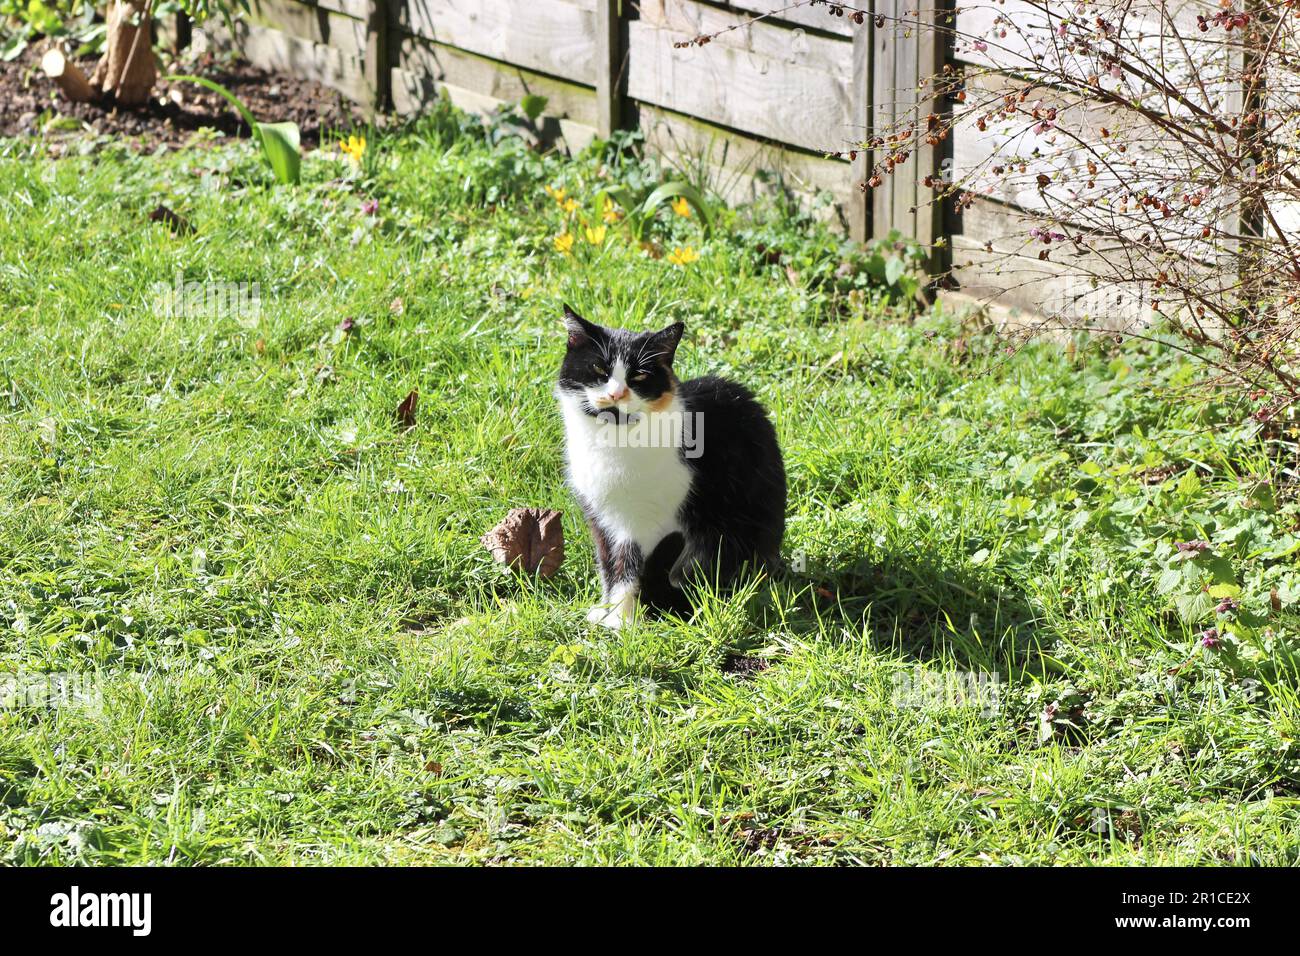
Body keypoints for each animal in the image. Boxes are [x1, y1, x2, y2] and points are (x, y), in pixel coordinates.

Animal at [556, 306, 785, 632]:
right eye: (599, 369)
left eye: (639, 375)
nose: (615, 395)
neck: (612, 440)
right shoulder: (599, 517)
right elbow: (608, 565)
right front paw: (605, 611)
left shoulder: (647, 522)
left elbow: (630, 568)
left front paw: (620, 621)